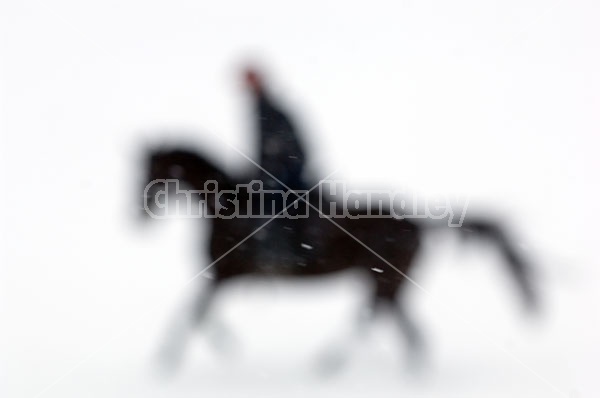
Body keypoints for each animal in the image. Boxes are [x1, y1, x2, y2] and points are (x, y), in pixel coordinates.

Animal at [142, 148, 540, 372]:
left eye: (151, 172)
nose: (139, 211)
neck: (228, 207)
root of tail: (419, 221)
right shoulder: (223, 276)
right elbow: (199, 312)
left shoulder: (224, 273)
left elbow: (195, 311)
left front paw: (170, 356)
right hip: (387, 282)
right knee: (395, 323)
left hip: (386, 279)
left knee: (377, 319)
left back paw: (332, 362)